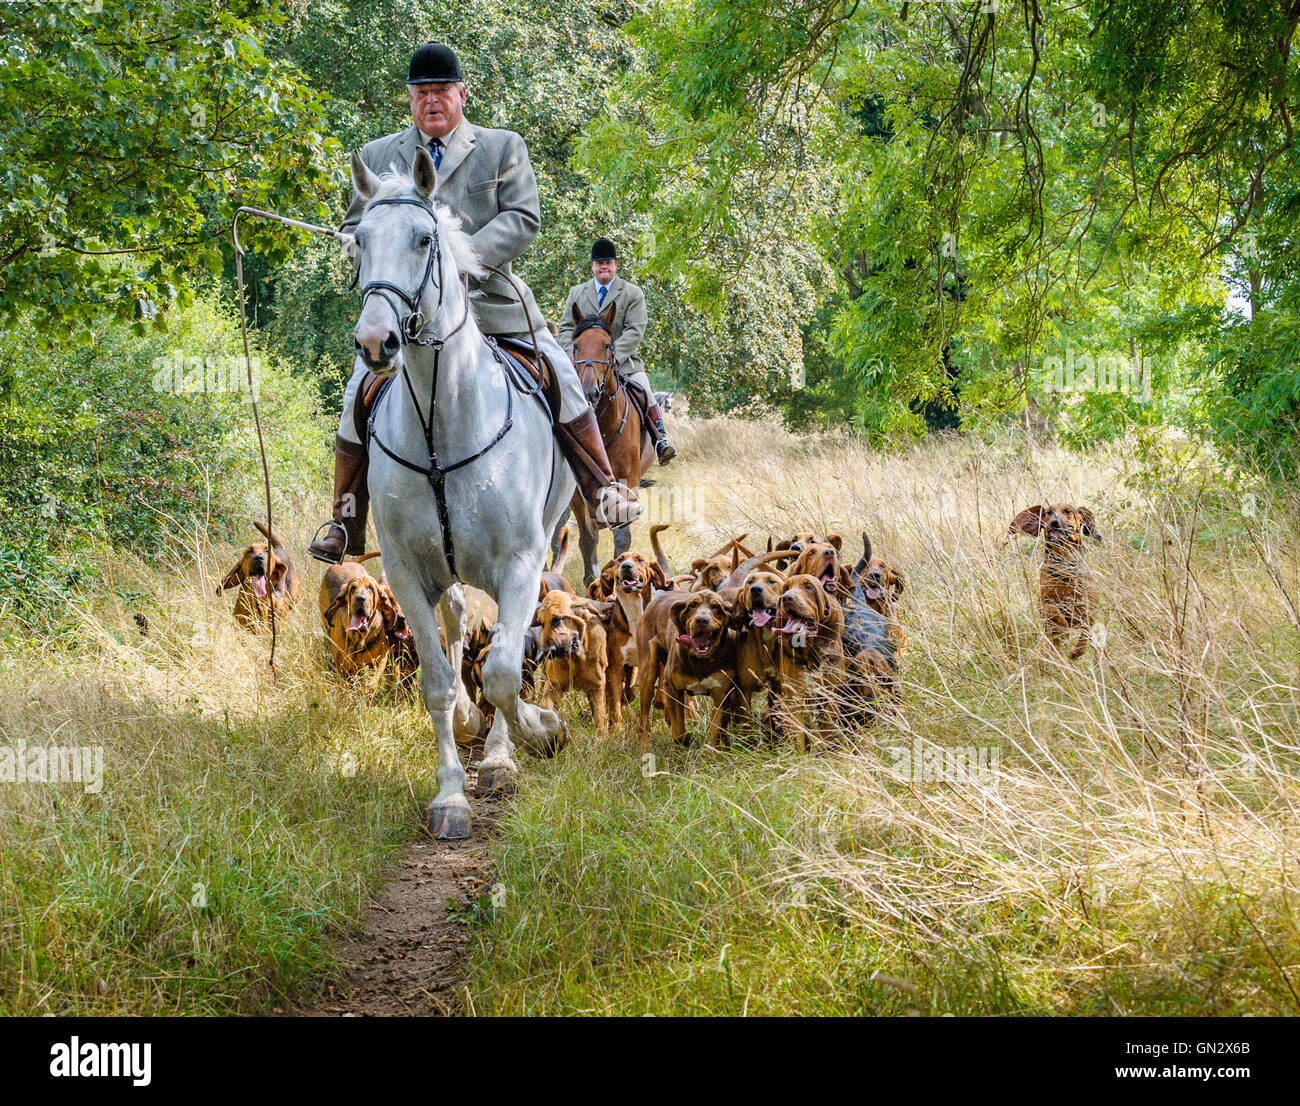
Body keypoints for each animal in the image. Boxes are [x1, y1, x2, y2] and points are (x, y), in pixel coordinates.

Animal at [351, 146, 569, 836]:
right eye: (358, 240)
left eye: (424, 239)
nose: (376, 343)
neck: (441, 425)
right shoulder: (404, 570)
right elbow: (439, 682)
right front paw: (450, 794)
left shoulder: (520, 563)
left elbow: (503, 670)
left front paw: (534, 734)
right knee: (453, 618)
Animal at [551, 298, 655, 584]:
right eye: (576, 345)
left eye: (608, 345)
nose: (589, 391)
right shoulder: (577, 492)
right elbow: (588, 537)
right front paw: (591, 579)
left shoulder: (628, 480)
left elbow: (622, 535)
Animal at [1003, 509, 1097, 662]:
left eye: (1068, 511)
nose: (1055, 523)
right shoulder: (1044, 604)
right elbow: (1053, 612)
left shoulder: (1090, 607)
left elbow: (1086, 628)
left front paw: (1076, 650)